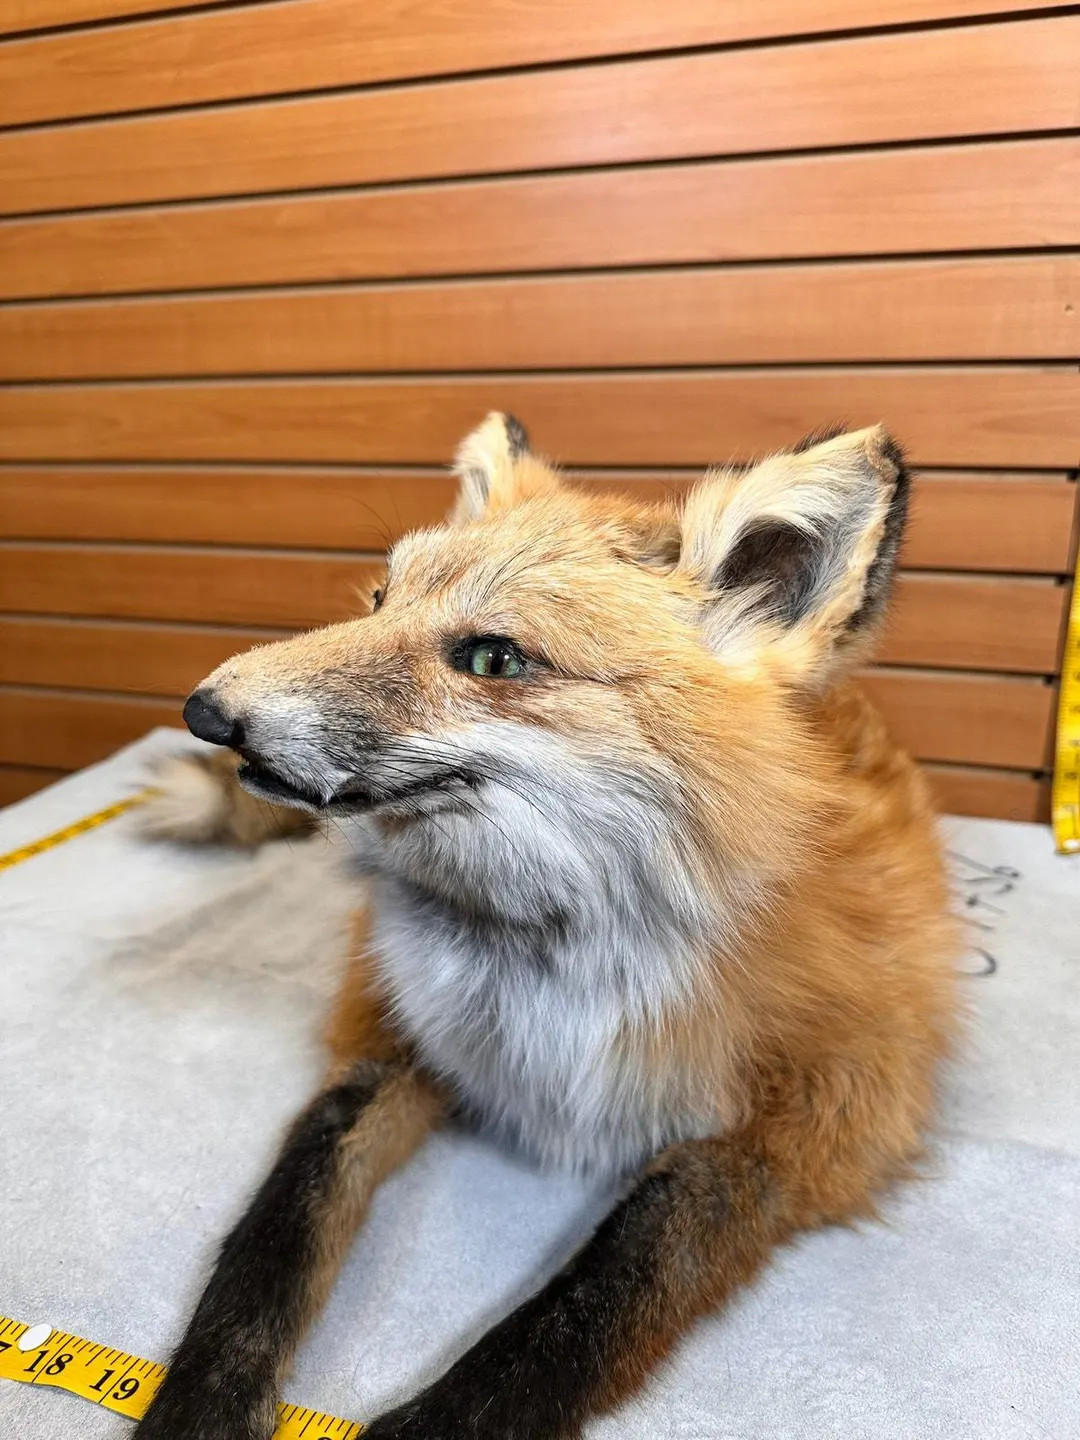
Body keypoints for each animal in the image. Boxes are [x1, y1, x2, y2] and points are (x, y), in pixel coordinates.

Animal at [133, 412, 960, 1440]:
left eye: (493, 659)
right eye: (378, 598)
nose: (204, 712)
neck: (545, 966)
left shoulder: (826, 1119)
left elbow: (596, 1298)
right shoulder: (389, 1039)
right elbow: (266, 1251)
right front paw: (197, 1411)